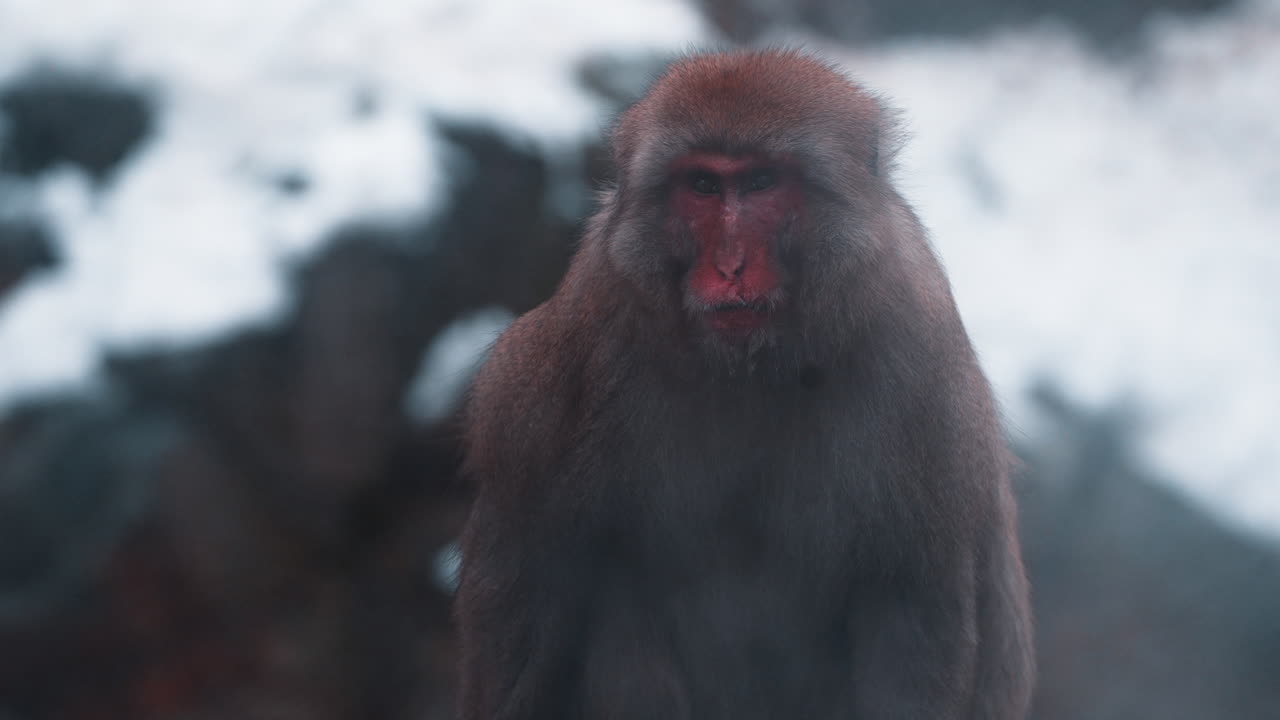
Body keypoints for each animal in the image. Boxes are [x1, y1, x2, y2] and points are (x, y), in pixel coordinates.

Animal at [455, 49, 1034, 720]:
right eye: (704, 186)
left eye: (760, 184)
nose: (729, 265)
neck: (752, 369)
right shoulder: (547, 389)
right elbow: (526, 602)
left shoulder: (927, 377)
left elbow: (915, 609)